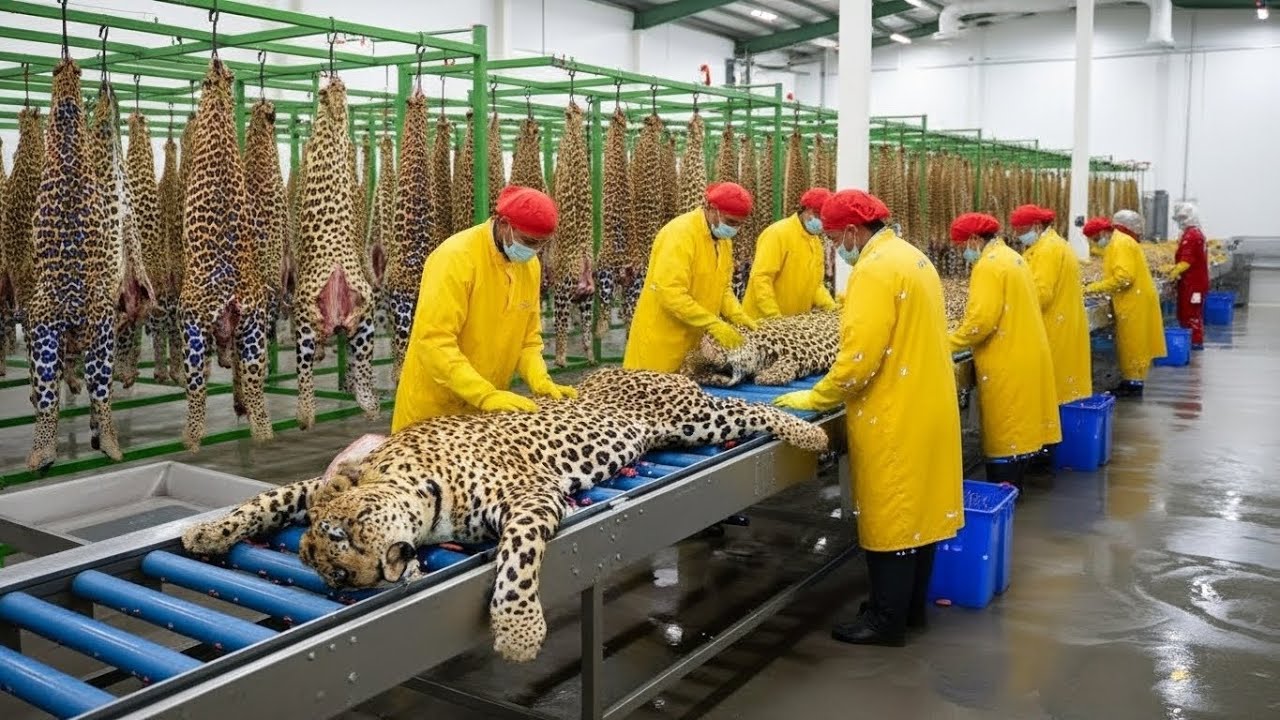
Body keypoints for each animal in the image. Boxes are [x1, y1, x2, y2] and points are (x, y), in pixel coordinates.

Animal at [182, 368, 830, 663]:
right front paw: (205, 530)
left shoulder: (531, 499)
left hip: (694, 418)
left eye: (344, 537)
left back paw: (807, 428)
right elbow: (273, 497)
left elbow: (517, 559)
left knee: (745, 409)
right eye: (332, 575)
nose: (361, 581)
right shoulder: (322, 483)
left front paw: (517, 630)